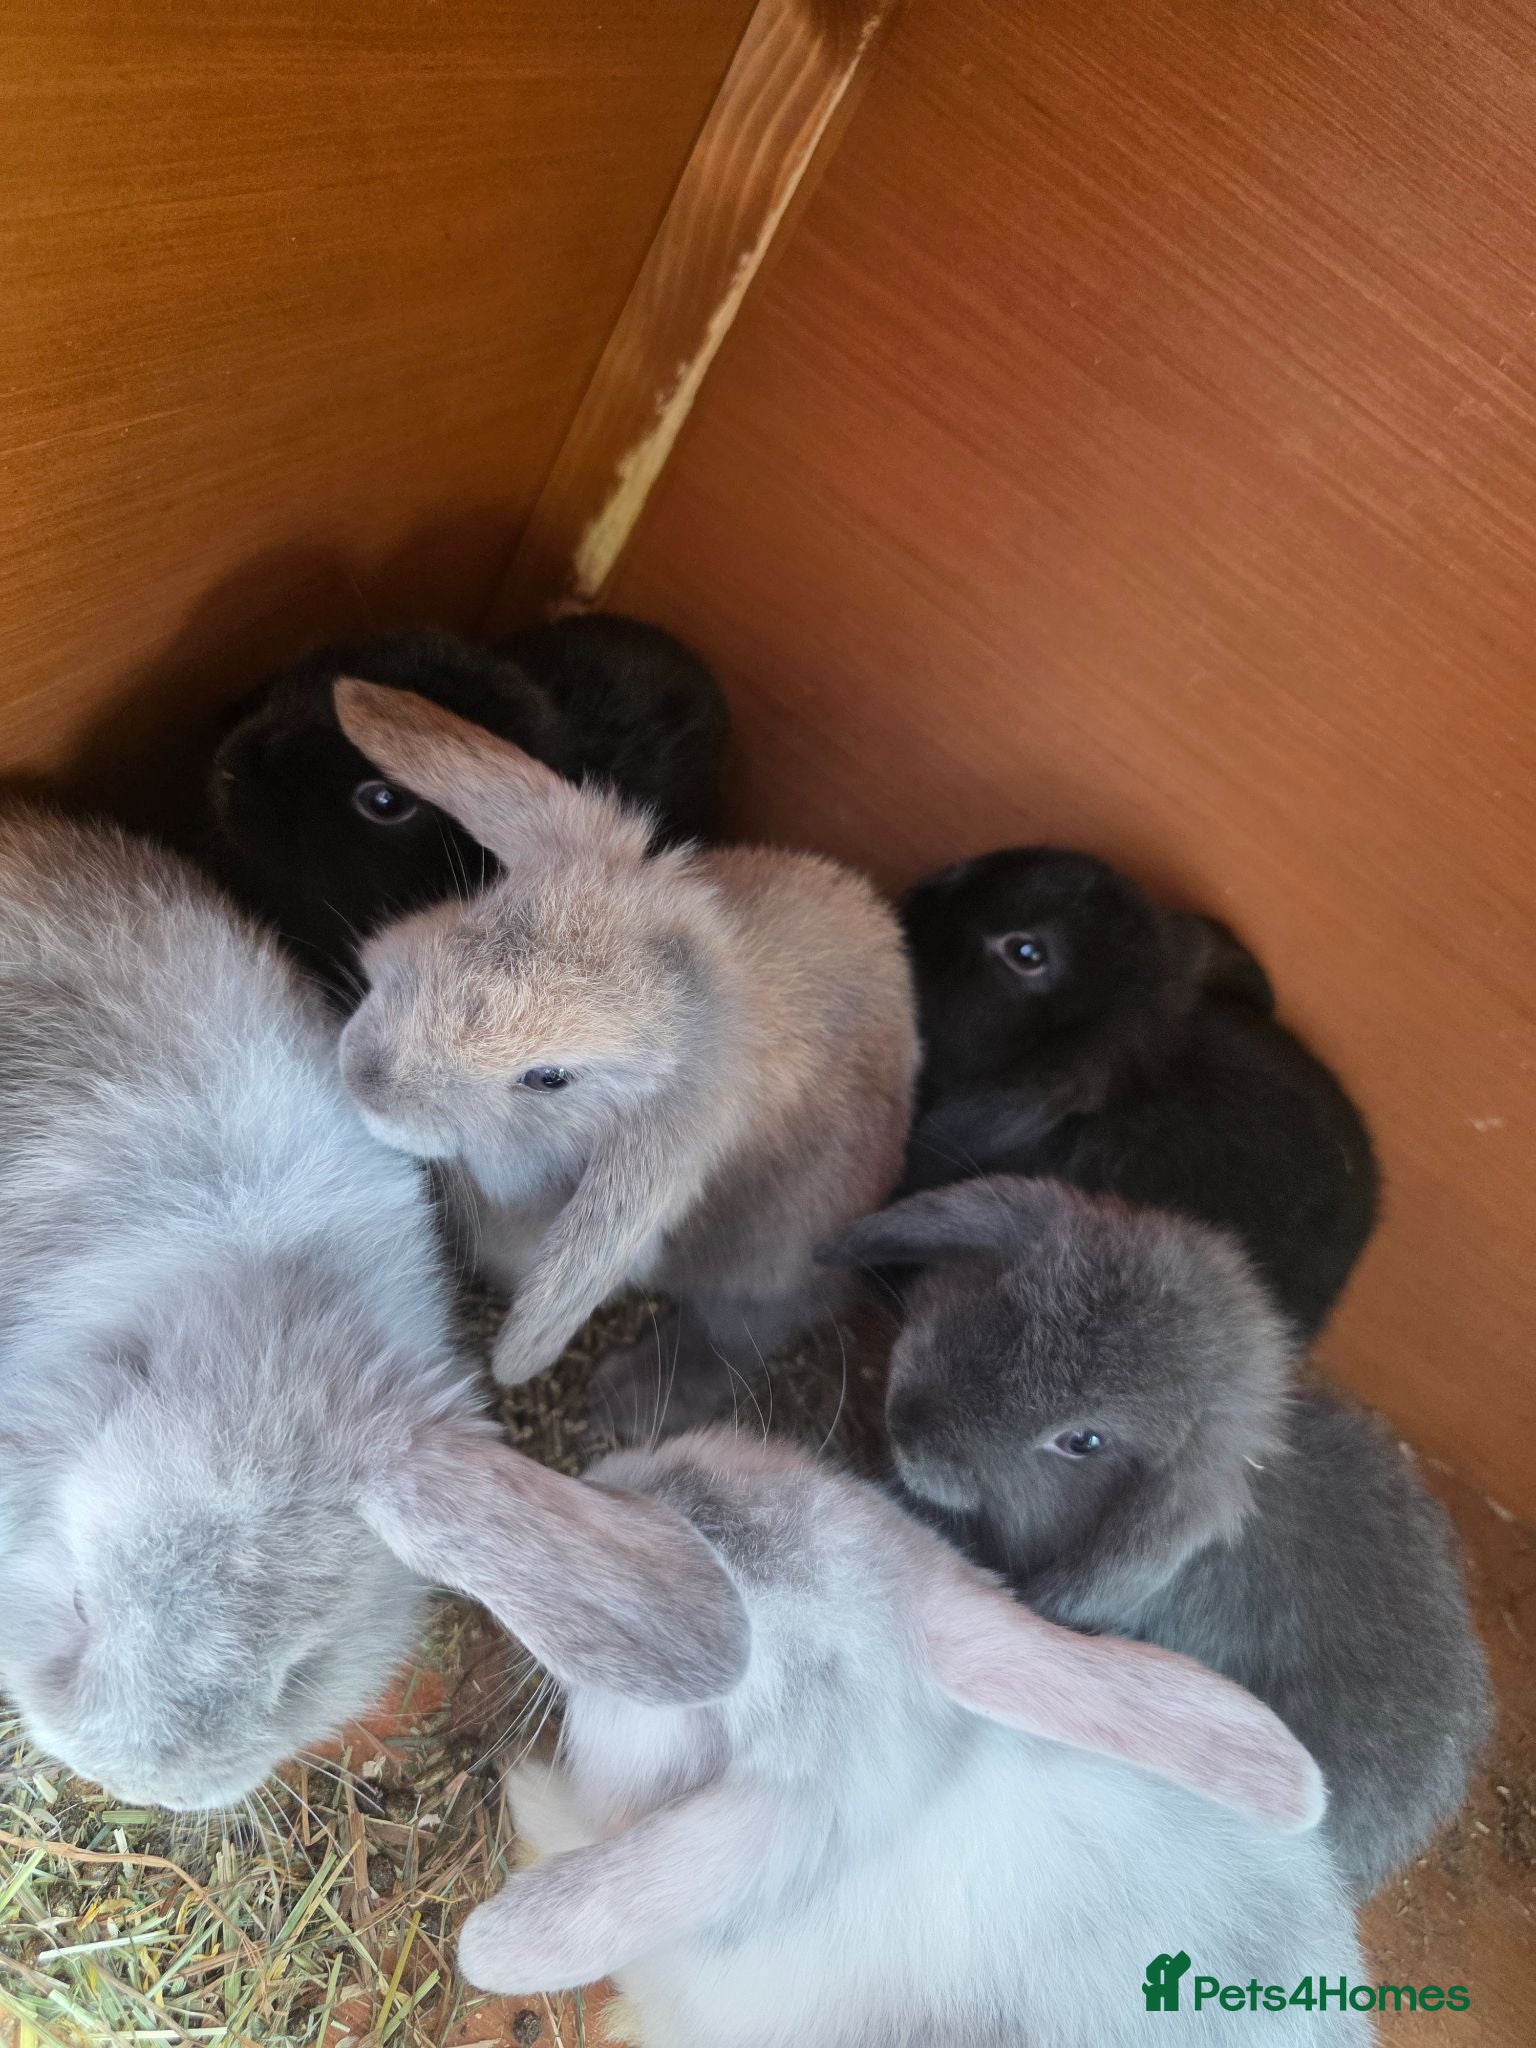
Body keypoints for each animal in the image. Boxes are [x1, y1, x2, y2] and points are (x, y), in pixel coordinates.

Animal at [327, 675, 920, 1433]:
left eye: (549, 1078)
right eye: (483, 911)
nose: (363, 1073)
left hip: (767, 1266)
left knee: (743, 1333)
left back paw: (624, 1400)